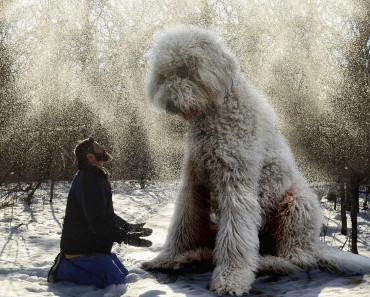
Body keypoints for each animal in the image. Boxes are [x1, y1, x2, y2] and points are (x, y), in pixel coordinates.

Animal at [142, 24, 370, 294]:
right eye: (164, 74)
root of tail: (314, 245)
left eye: (186, 71)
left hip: (297, 205)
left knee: (297, 260)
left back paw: (267, 262)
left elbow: (235, 236)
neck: (215, 113)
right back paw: (196, 256)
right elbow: (183, 222)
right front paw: (170, 258)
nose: (168, 103)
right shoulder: (194, 181)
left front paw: (231, 278)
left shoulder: (235, 183)